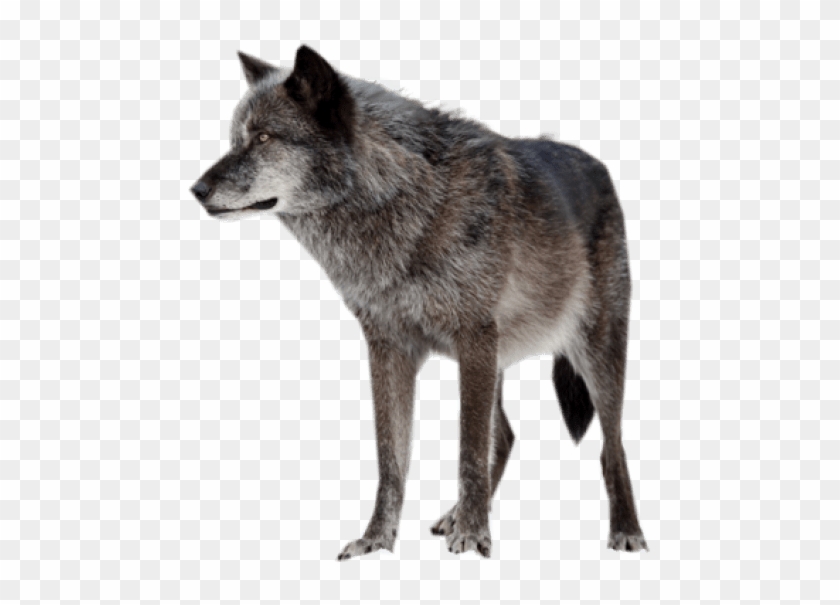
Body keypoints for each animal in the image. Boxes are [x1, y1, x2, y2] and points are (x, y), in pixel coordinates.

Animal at [191, 45, 648, 559]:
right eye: (235, 139)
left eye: (264, 137)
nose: (197, 190)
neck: (405, 202)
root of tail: (600, 166)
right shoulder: (389, 348)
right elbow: (391, 459)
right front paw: (377, 541)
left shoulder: (473, 339)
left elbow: (469, 449)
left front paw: (473, 537)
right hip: (503, 360)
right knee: (508, 435)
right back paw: (456, 514)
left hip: (596, 354)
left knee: (612, 445)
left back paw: (626, 531)